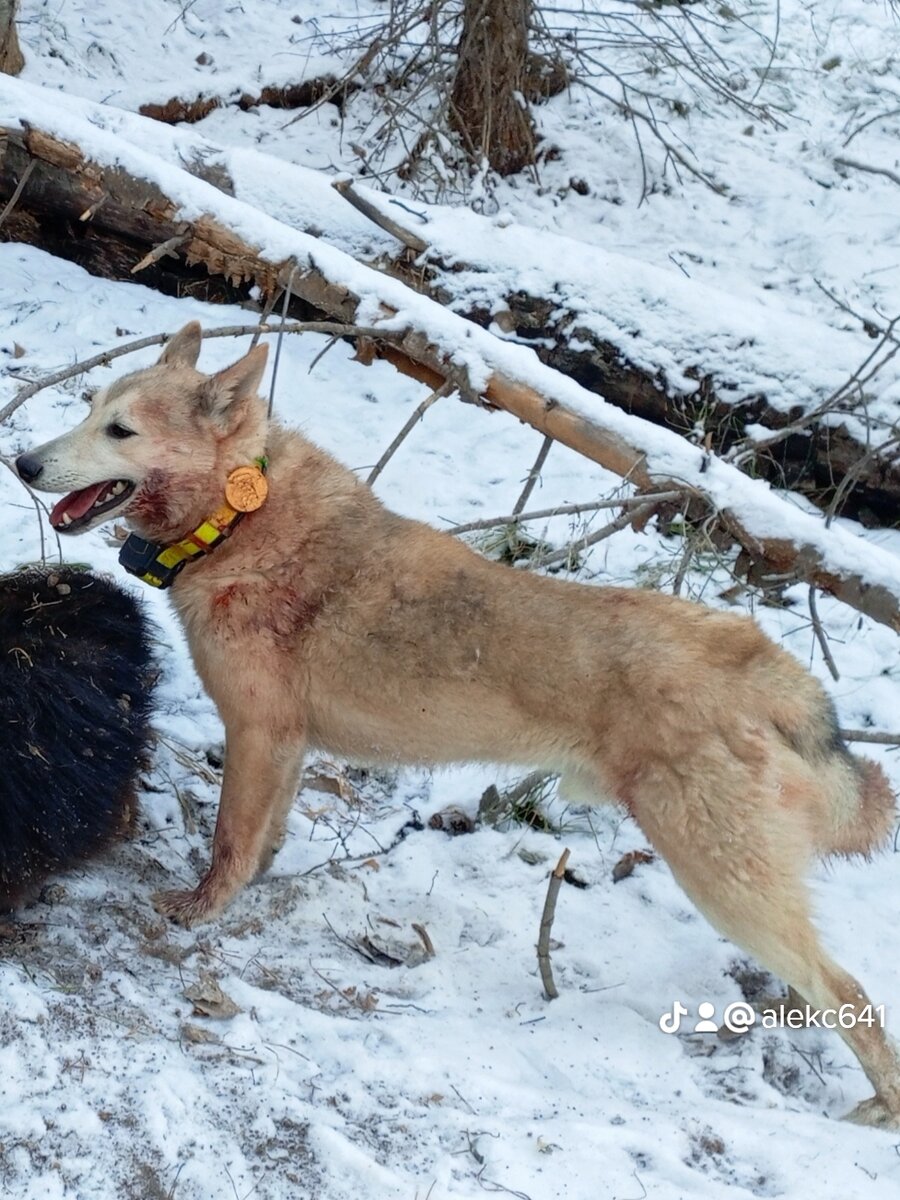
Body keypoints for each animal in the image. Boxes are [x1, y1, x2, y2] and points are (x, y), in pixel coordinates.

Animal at [17, 324, 900, 1128]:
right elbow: (265, 838)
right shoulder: (288, 745)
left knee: (851, 992)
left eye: (120, 430)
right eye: (88, 407)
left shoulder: (257, 735)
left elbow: (229, 843)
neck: (239, 521)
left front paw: (204, 908)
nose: (23, 463)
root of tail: (768, 667)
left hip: (721, 879)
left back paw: (875, 1111)